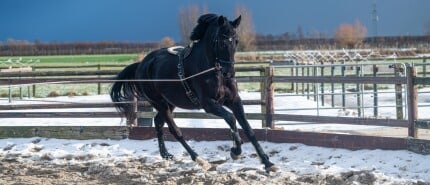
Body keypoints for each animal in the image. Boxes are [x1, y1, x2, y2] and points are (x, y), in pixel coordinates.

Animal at [111, 13, 276, 172]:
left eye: (236, 40)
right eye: (220, 41)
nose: (229, 73)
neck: (212, 70)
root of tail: (142, 64)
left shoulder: (234, 100)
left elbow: (248, 129)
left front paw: (267, 162)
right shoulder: (208, 104)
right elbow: (231, 119)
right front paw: (236, 150)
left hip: (169, 103)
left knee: (158, 122)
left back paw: (166, 154)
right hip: (159, 103)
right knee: (175, 130)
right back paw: (200, 160)